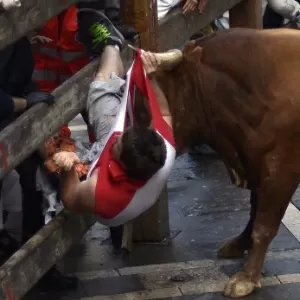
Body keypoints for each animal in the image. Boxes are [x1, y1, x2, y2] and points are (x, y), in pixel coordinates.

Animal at [150, 28, 300, 298]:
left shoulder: (282, 167)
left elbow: (264, 222)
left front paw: (246, 278)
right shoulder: (255, 161)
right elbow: (254, 208)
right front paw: (240, 244)